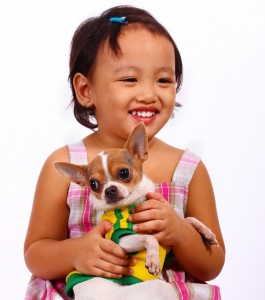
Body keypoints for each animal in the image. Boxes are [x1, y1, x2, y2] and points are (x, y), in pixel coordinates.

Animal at [53, 122, 217, 300]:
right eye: (93, 184)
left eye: (124, 173)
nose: (109, 190)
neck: (132, 204)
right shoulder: (120, 241)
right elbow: (150, 237)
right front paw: (153, 259)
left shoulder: (170, 243)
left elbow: (185, 221)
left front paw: (206, 231)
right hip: (158, 289)